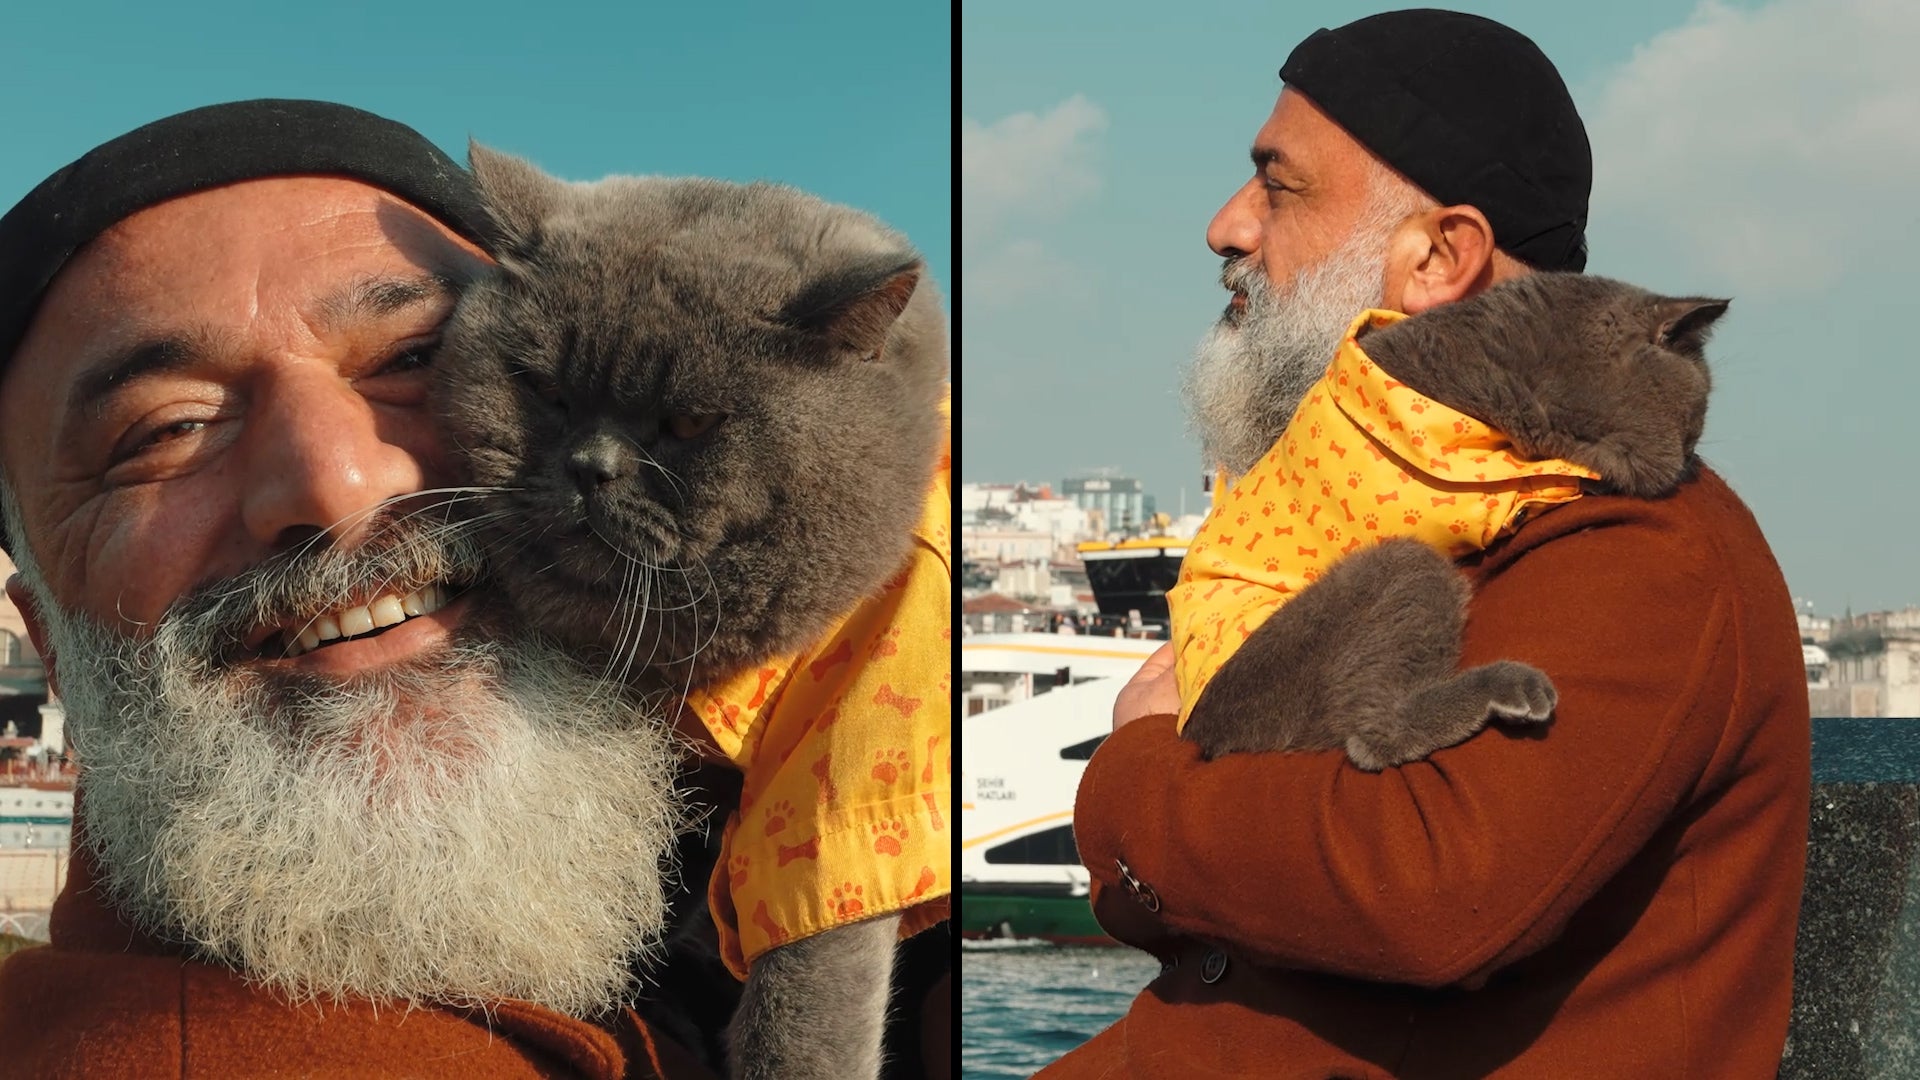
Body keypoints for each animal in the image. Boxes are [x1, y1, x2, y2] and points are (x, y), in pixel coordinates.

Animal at [1175, 272, 1735, 768]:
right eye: (1694, 421)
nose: (1690, 457)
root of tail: (1199, 727)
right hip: (1388, 577)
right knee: (1369, 736)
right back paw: (1507, 685)